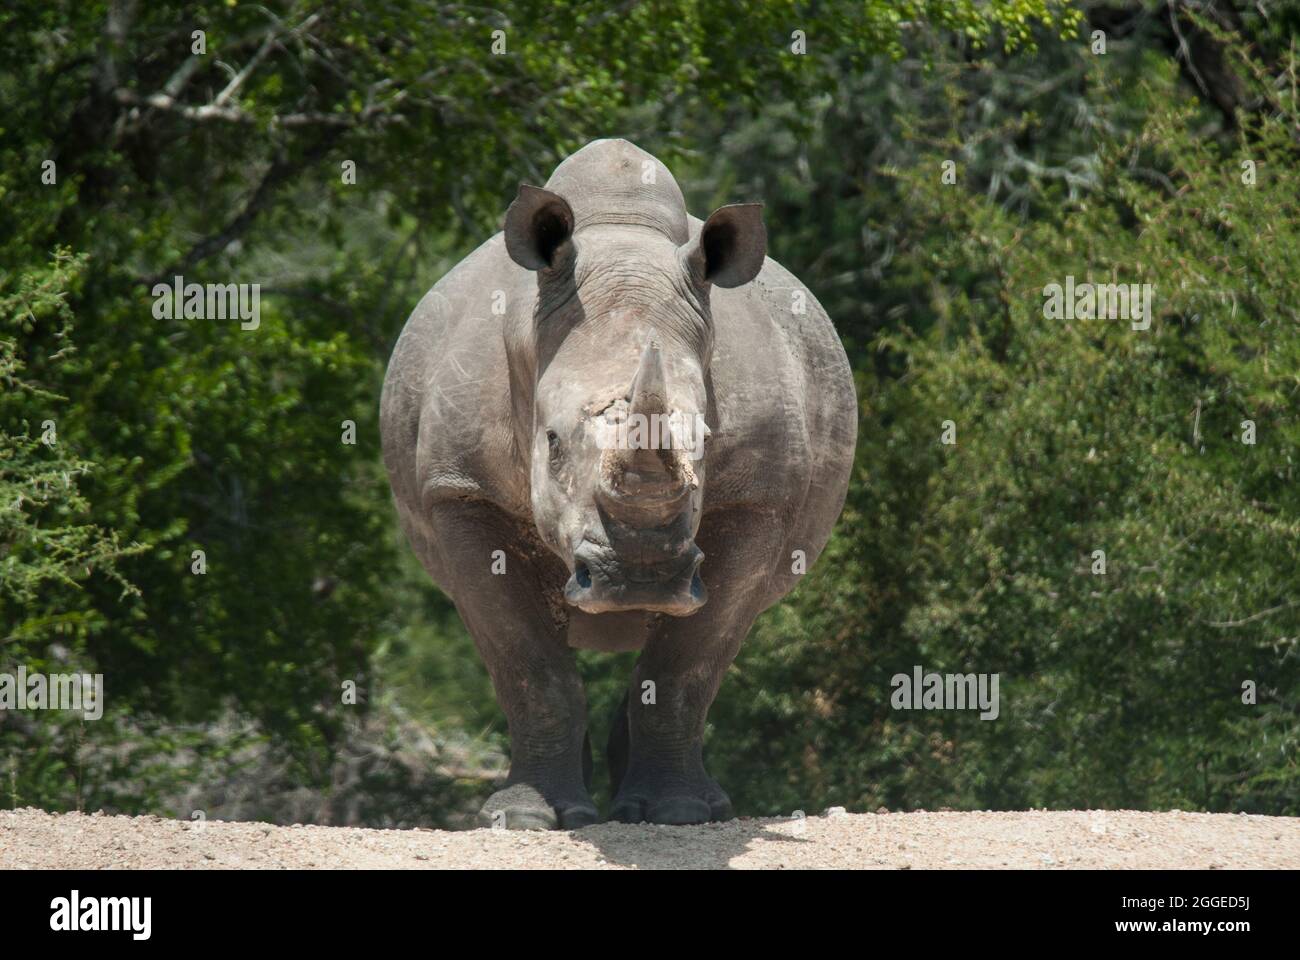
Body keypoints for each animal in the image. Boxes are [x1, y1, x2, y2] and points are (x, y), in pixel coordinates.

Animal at [380, 139, 856, 829]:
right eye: (551, 443)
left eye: (706, 441)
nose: (641, 577)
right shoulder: (461, 491)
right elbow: (529, 664)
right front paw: (527, 818)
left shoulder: (759, 499)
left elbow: (687, 665)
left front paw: (677, 813)